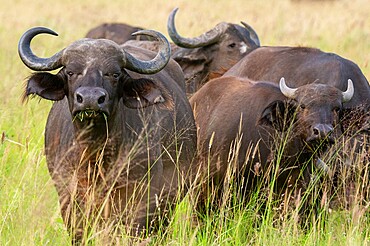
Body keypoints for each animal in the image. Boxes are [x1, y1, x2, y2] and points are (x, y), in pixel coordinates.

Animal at [18, 26, 197, 242]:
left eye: (114, 74)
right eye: (71, 72)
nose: (90, 99)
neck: (96, 156)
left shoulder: (143, 199)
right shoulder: (69, 197)